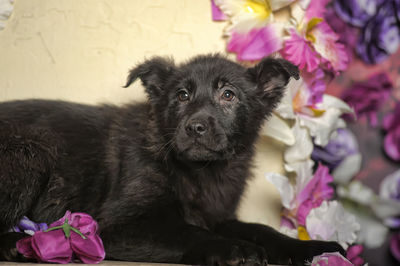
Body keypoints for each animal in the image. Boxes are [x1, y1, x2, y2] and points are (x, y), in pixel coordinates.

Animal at [0, 54, 344, 266]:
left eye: (228, 95)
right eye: (182, 95)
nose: (195, 128)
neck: (200, 172)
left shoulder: (219, 215)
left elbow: (262, 229)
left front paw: (310, 248)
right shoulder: (114, 226)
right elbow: (185, 231)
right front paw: (231, 247)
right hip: (35, 149)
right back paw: (17, 244)